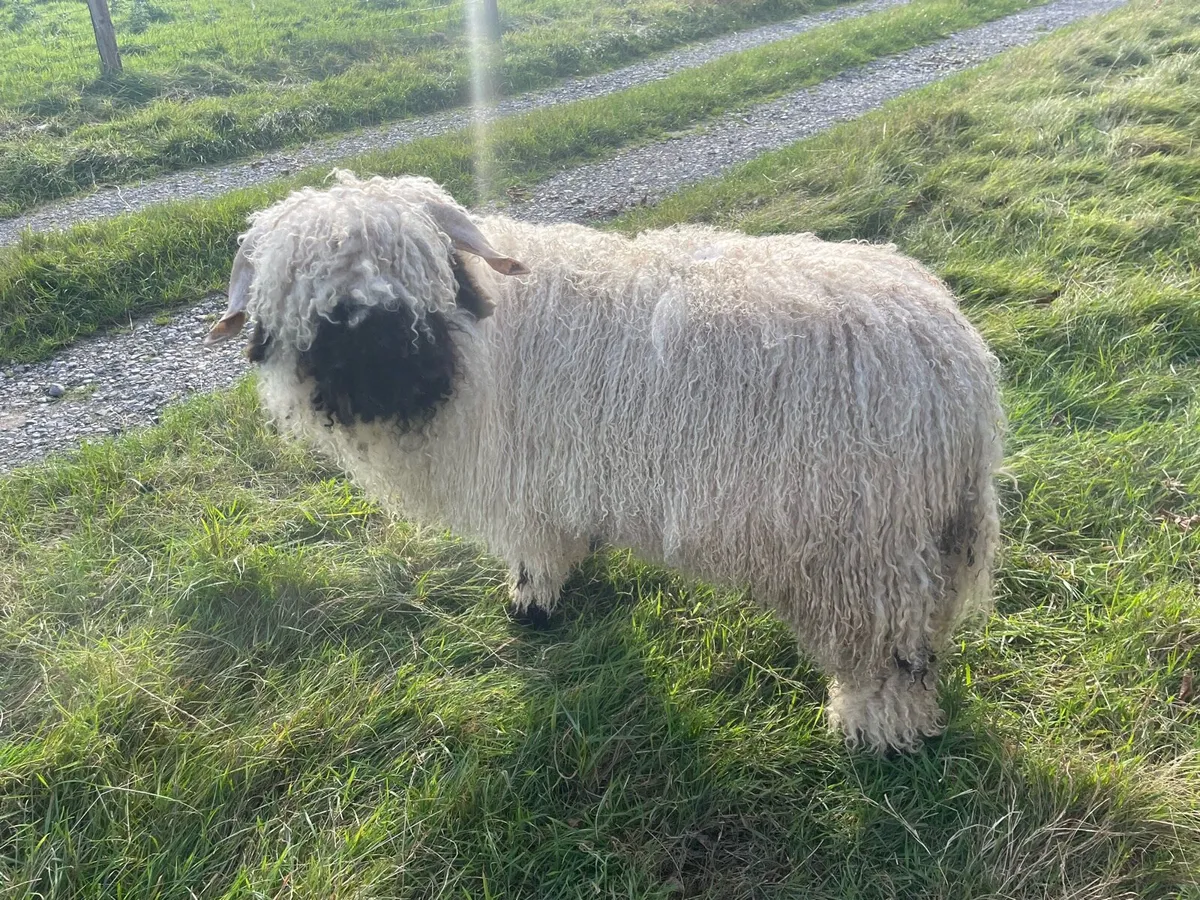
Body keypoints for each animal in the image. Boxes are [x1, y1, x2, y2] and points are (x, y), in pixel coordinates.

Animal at [204, 170, 1005, 753]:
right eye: (307, 287)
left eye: (412, 260)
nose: (376, 340)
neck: (476, 343)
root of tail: (960, 370)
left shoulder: (525, 489)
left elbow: (534, 554)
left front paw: (530, 608)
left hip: (862, 549)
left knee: (888, 650)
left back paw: (876, 733)